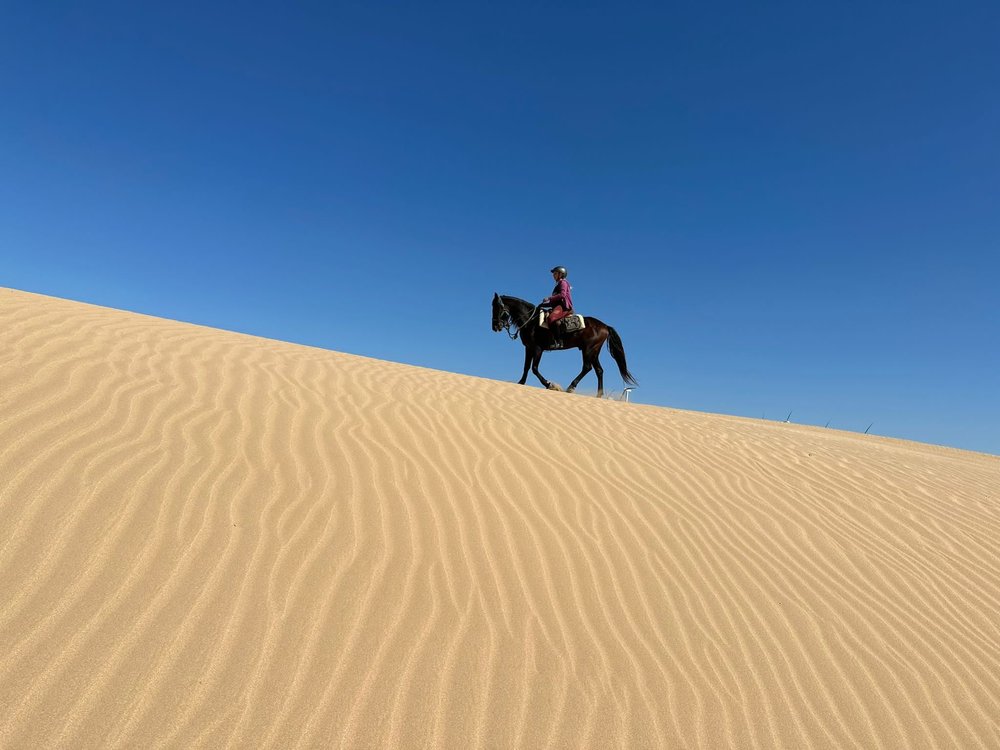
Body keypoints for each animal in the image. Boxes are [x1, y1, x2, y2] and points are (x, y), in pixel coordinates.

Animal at [491, 293, 637, 397]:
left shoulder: (538, 349)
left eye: (498, 308)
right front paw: (521, 383)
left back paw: (571, 387)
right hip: (594, 351)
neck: (531, 321)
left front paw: (549, 384)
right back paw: (599, 395)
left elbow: (534, 368)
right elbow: (526, 367)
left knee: (587, 367)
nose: (495, 327)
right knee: (599, 370)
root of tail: (605, 326)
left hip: (588, 349)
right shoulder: (528, 348)